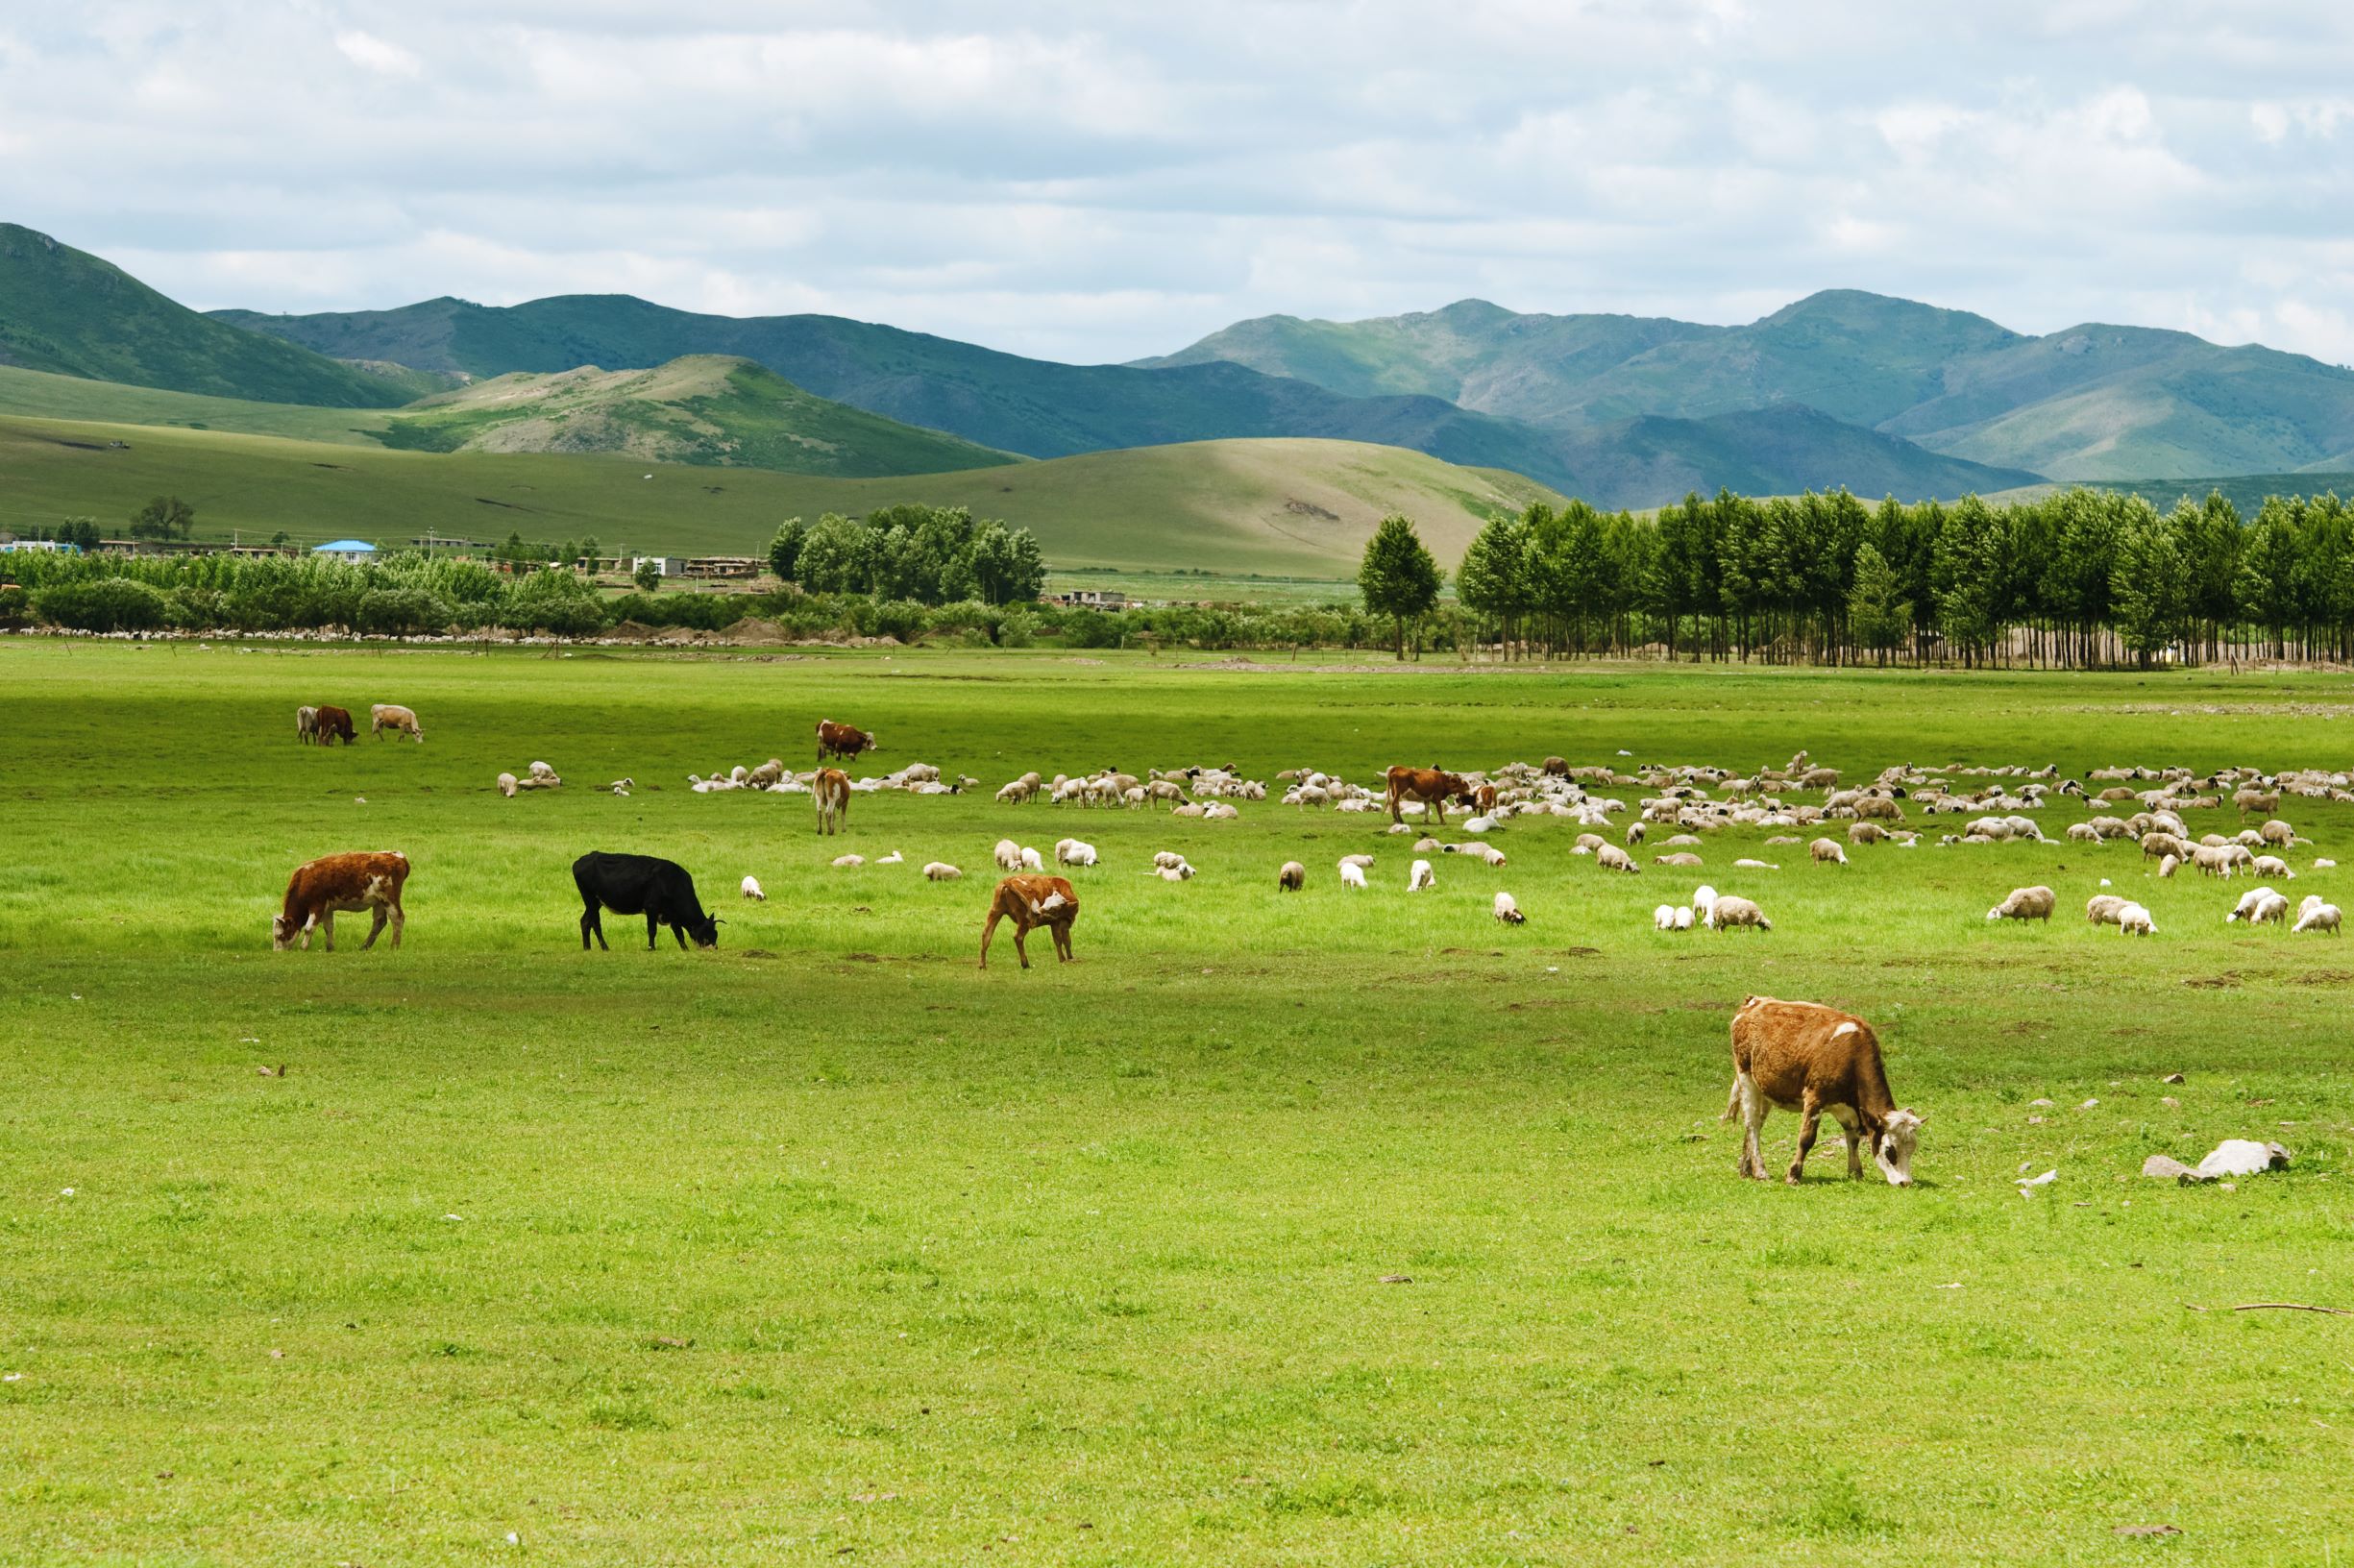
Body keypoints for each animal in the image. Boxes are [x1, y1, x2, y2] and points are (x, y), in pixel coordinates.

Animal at [272, 850, 409, 952]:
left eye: (280, 936)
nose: (277, 952)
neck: (303, 881)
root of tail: (398, 856)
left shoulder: (317, 906)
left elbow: (309, 928)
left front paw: (303, 947)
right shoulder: (327, 908)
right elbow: (328, 927)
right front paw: (330, 948)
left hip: (389, 898)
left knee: (397, 918)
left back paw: (394, 947)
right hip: (379, 901)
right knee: (379, 921)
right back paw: (365, 946)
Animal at [571, 852, 720, 951]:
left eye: (716, 933)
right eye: (707, 933)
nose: (714, 948)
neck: (672, 881)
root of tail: (581, 860)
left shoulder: (673, 916)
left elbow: (679, 934)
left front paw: (685, 949)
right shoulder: (651, 907)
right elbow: (652, 930)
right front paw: (651, 948)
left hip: (595, 903)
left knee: (585, 921)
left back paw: (587, 948)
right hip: (590, 899)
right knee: (595, 923)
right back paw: (605, 947)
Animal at [1724, 995, 1924, 1186]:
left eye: (1912, 1148)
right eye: (1890, 1150)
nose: (1905, 1182)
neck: (1852, 1055)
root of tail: (1753, 1002)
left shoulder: (1847, 1108)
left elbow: (1853, 1139)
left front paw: (1856, 1173)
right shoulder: (1815, 1098)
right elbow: (1806, 1139)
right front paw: (1793, 1175)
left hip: (1764, 1088)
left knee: (1757, 1124)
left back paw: (1746, 1168)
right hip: (1745, 1077)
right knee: (1751, 1124)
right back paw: (1760, 1171)